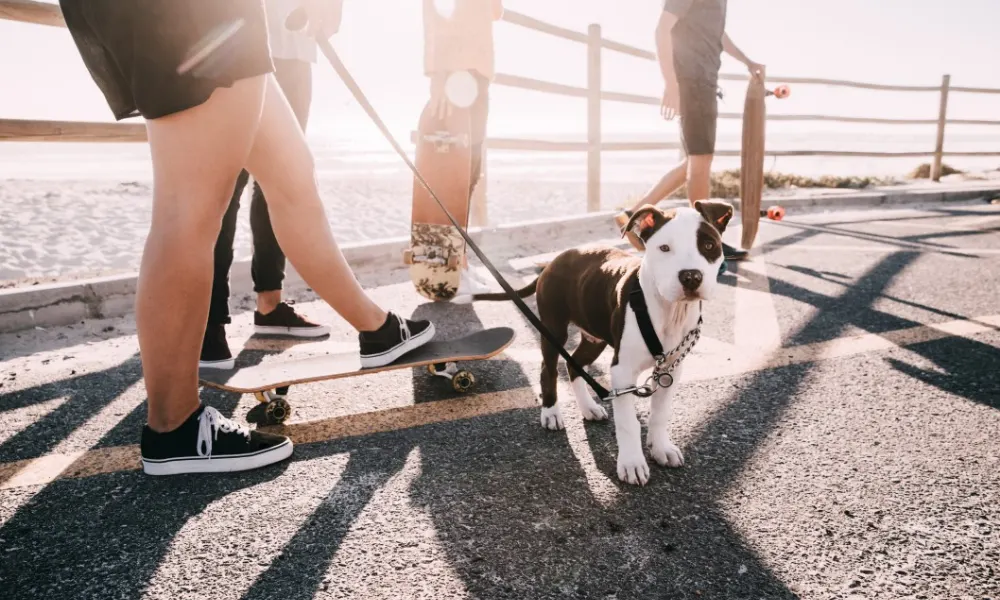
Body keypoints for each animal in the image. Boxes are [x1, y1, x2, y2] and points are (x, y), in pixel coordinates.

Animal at [468, 199, 736, 486]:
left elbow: (660, 413)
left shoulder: (670, 370)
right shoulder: (622, 372)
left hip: (594, 336)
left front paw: (661, 448)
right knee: (548, 369)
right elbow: (628, 422)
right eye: (664, 248)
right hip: (553, 330)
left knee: (574, 365)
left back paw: (589, 408)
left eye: (708, 246)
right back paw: (551, 412)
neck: (669, 311)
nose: (691, 277)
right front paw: (632, 463)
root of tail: (555, 260)